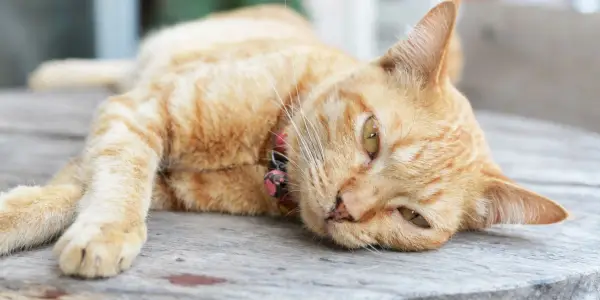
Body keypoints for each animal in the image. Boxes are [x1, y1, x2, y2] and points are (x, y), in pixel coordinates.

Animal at [0, 1, 564, 280]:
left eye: (413, 218)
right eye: (372, 137)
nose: (345, 208)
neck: (261, 153)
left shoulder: (164, 177)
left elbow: (75, 192)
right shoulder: (139, 112)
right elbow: (113, 180)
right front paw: (104, 232)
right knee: (122, 64)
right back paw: (53, 74)